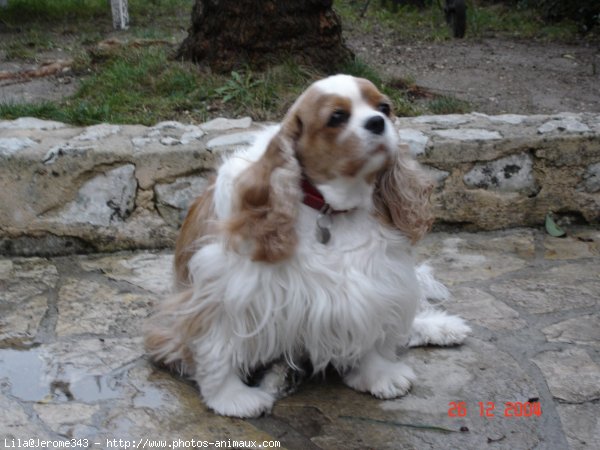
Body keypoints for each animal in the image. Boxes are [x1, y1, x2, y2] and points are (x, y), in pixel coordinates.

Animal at [144, 74, 468, 418]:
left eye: (384, 107)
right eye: (336, 117)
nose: (378, 122)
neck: (329, 208)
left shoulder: (373, 280)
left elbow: (372, 327)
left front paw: (378, 373)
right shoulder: (224, 292)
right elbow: (217, 348)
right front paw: (231, 397)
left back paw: (442, 327)